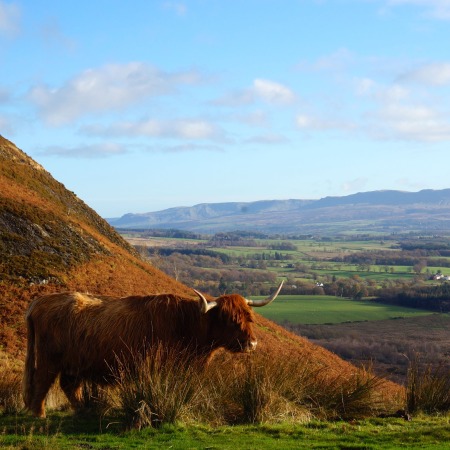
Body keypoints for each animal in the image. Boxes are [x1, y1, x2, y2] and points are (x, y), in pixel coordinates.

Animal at [22, 284, 284, 416]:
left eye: (249, 318)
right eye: (230, 320)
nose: (252, 344)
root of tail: (39, 302)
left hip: (74, 363)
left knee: (69, 386)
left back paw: (84, 410)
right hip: (48, 359)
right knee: (41, 383)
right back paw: (39, 415)